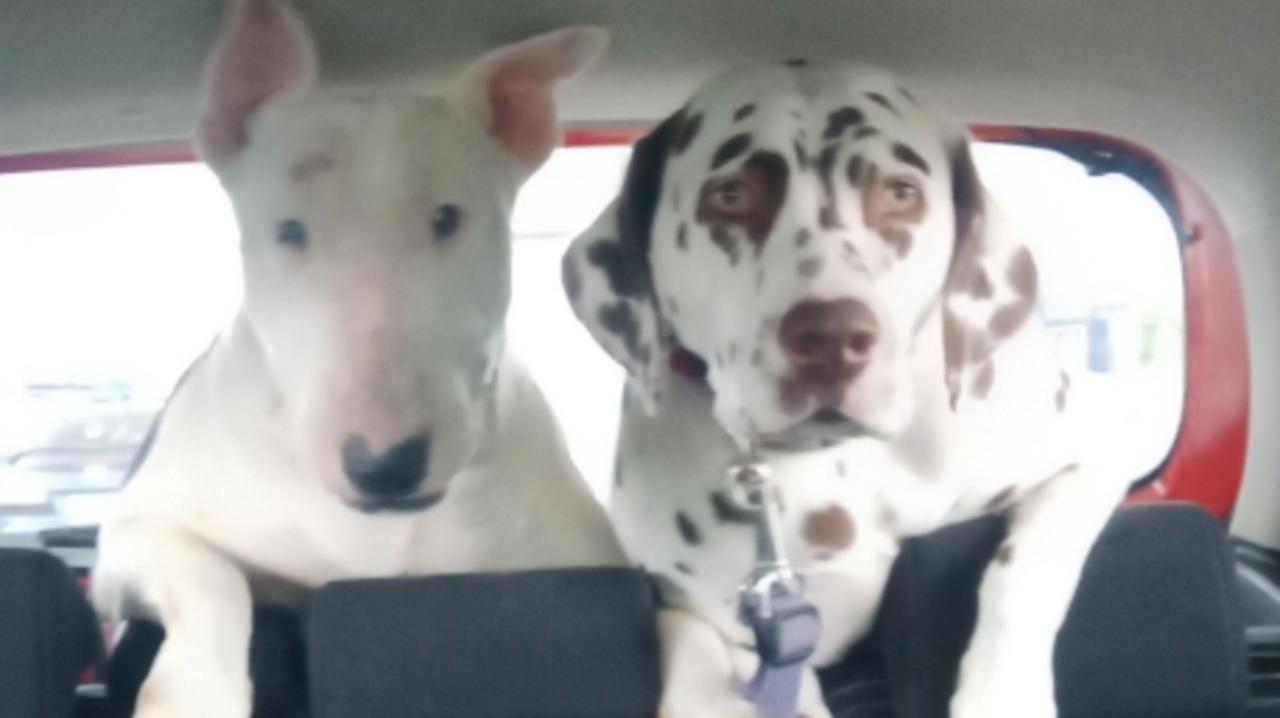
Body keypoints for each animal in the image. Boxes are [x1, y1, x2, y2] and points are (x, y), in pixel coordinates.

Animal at [92, 2, 622, 711]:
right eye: (289, 230)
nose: (385, 465)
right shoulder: (134, 532)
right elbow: (212, 576)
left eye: (447, 218)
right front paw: (192, 696)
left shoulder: (587, 561)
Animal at [565, 61, 1126, 716]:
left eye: (902, 192)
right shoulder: (737, 626)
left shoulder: (1087, 455)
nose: (832, 338)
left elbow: (1025, 572)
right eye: (730, 195)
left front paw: (1001, 695)